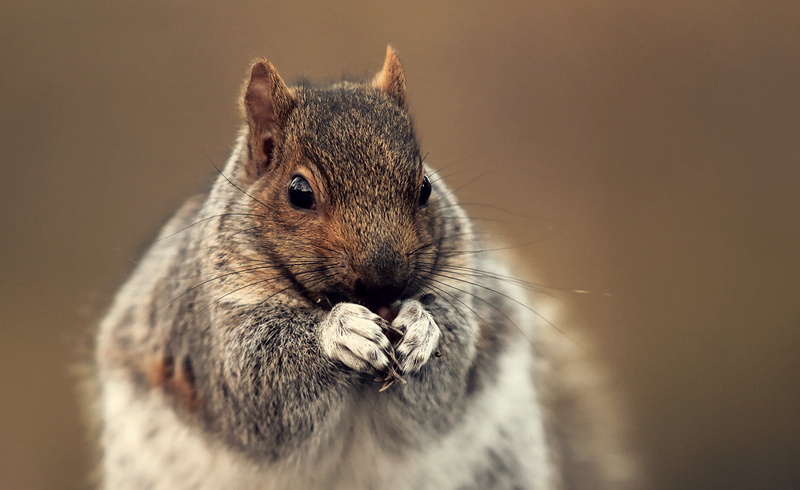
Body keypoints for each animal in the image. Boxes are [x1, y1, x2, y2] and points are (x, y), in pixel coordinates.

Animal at [94, 46, 638, 489]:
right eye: (298, 192)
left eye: (425, 187)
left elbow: (448, 374)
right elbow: (258, 385)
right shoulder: (207, 327)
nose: (384, 281)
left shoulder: (463, 290)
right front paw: (343, 333)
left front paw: (422, 329)